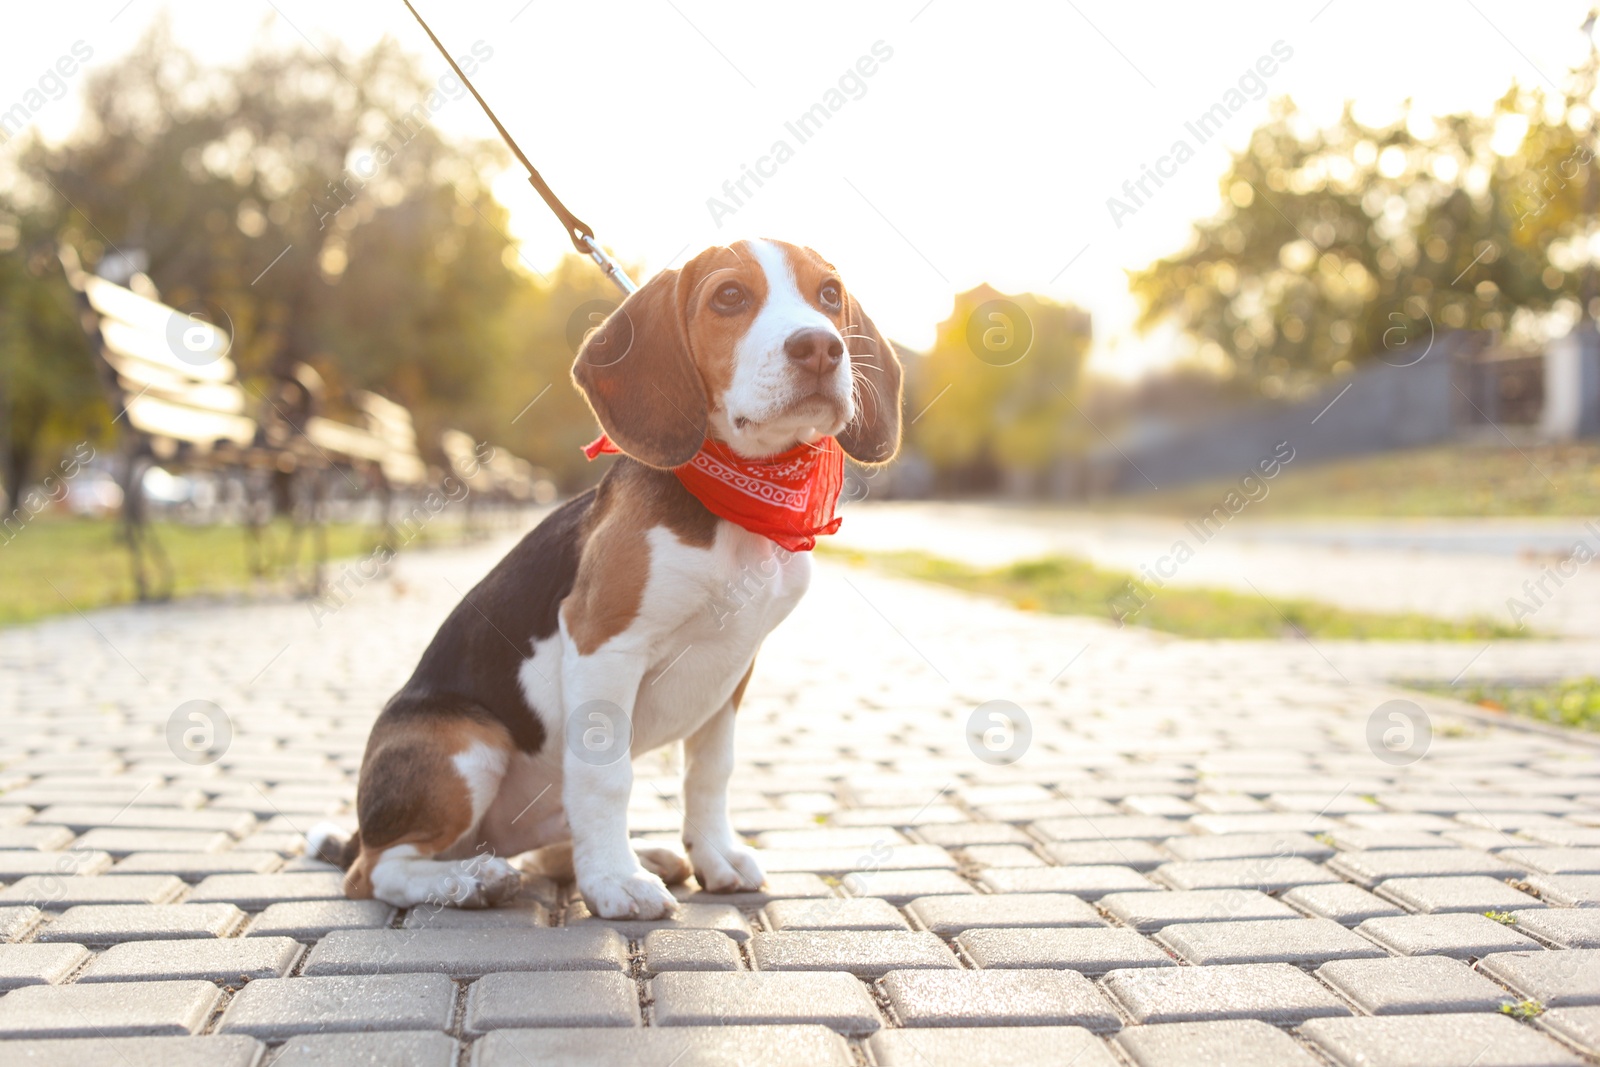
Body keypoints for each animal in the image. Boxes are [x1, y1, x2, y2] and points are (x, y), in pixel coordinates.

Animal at [312, 239, 902, 921]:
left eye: (829, 295)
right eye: (729, 297)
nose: (820, 347)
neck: (741, 500)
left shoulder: (735, 666)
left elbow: (711, 771)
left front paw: (714, 856)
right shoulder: (605, 642)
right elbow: (606, 776)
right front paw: (615, 884)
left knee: (545, 848)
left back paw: (640, 855)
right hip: (466, 740)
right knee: (375, 870)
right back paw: (470, 880)